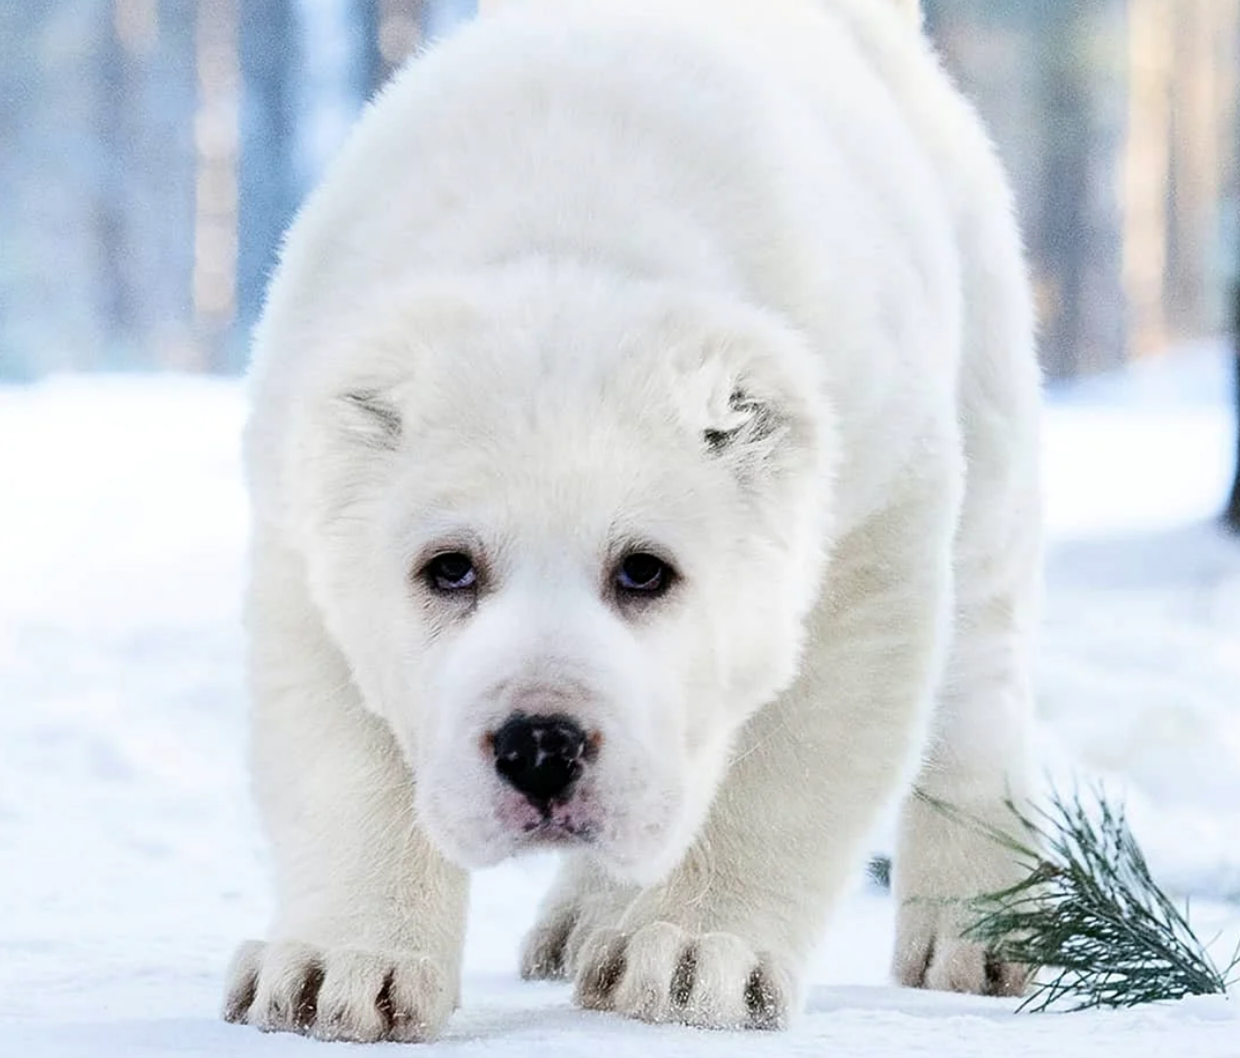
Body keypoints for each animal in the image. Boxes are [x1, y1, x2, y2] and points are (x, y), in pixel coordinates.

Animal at [225, 0, 1046, 1041]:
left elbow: (796, 741)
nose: (541, 748)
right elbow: (341, 738)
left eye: (645, 568)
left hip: (980, 340)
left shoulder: (870, 494)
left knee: (979, 660)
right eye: (448, 566)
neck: (570, 241)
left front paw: (692, 961)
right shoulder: (305, 492)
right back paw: (578, 923)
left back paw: (978, 938)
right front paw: (337, 974)